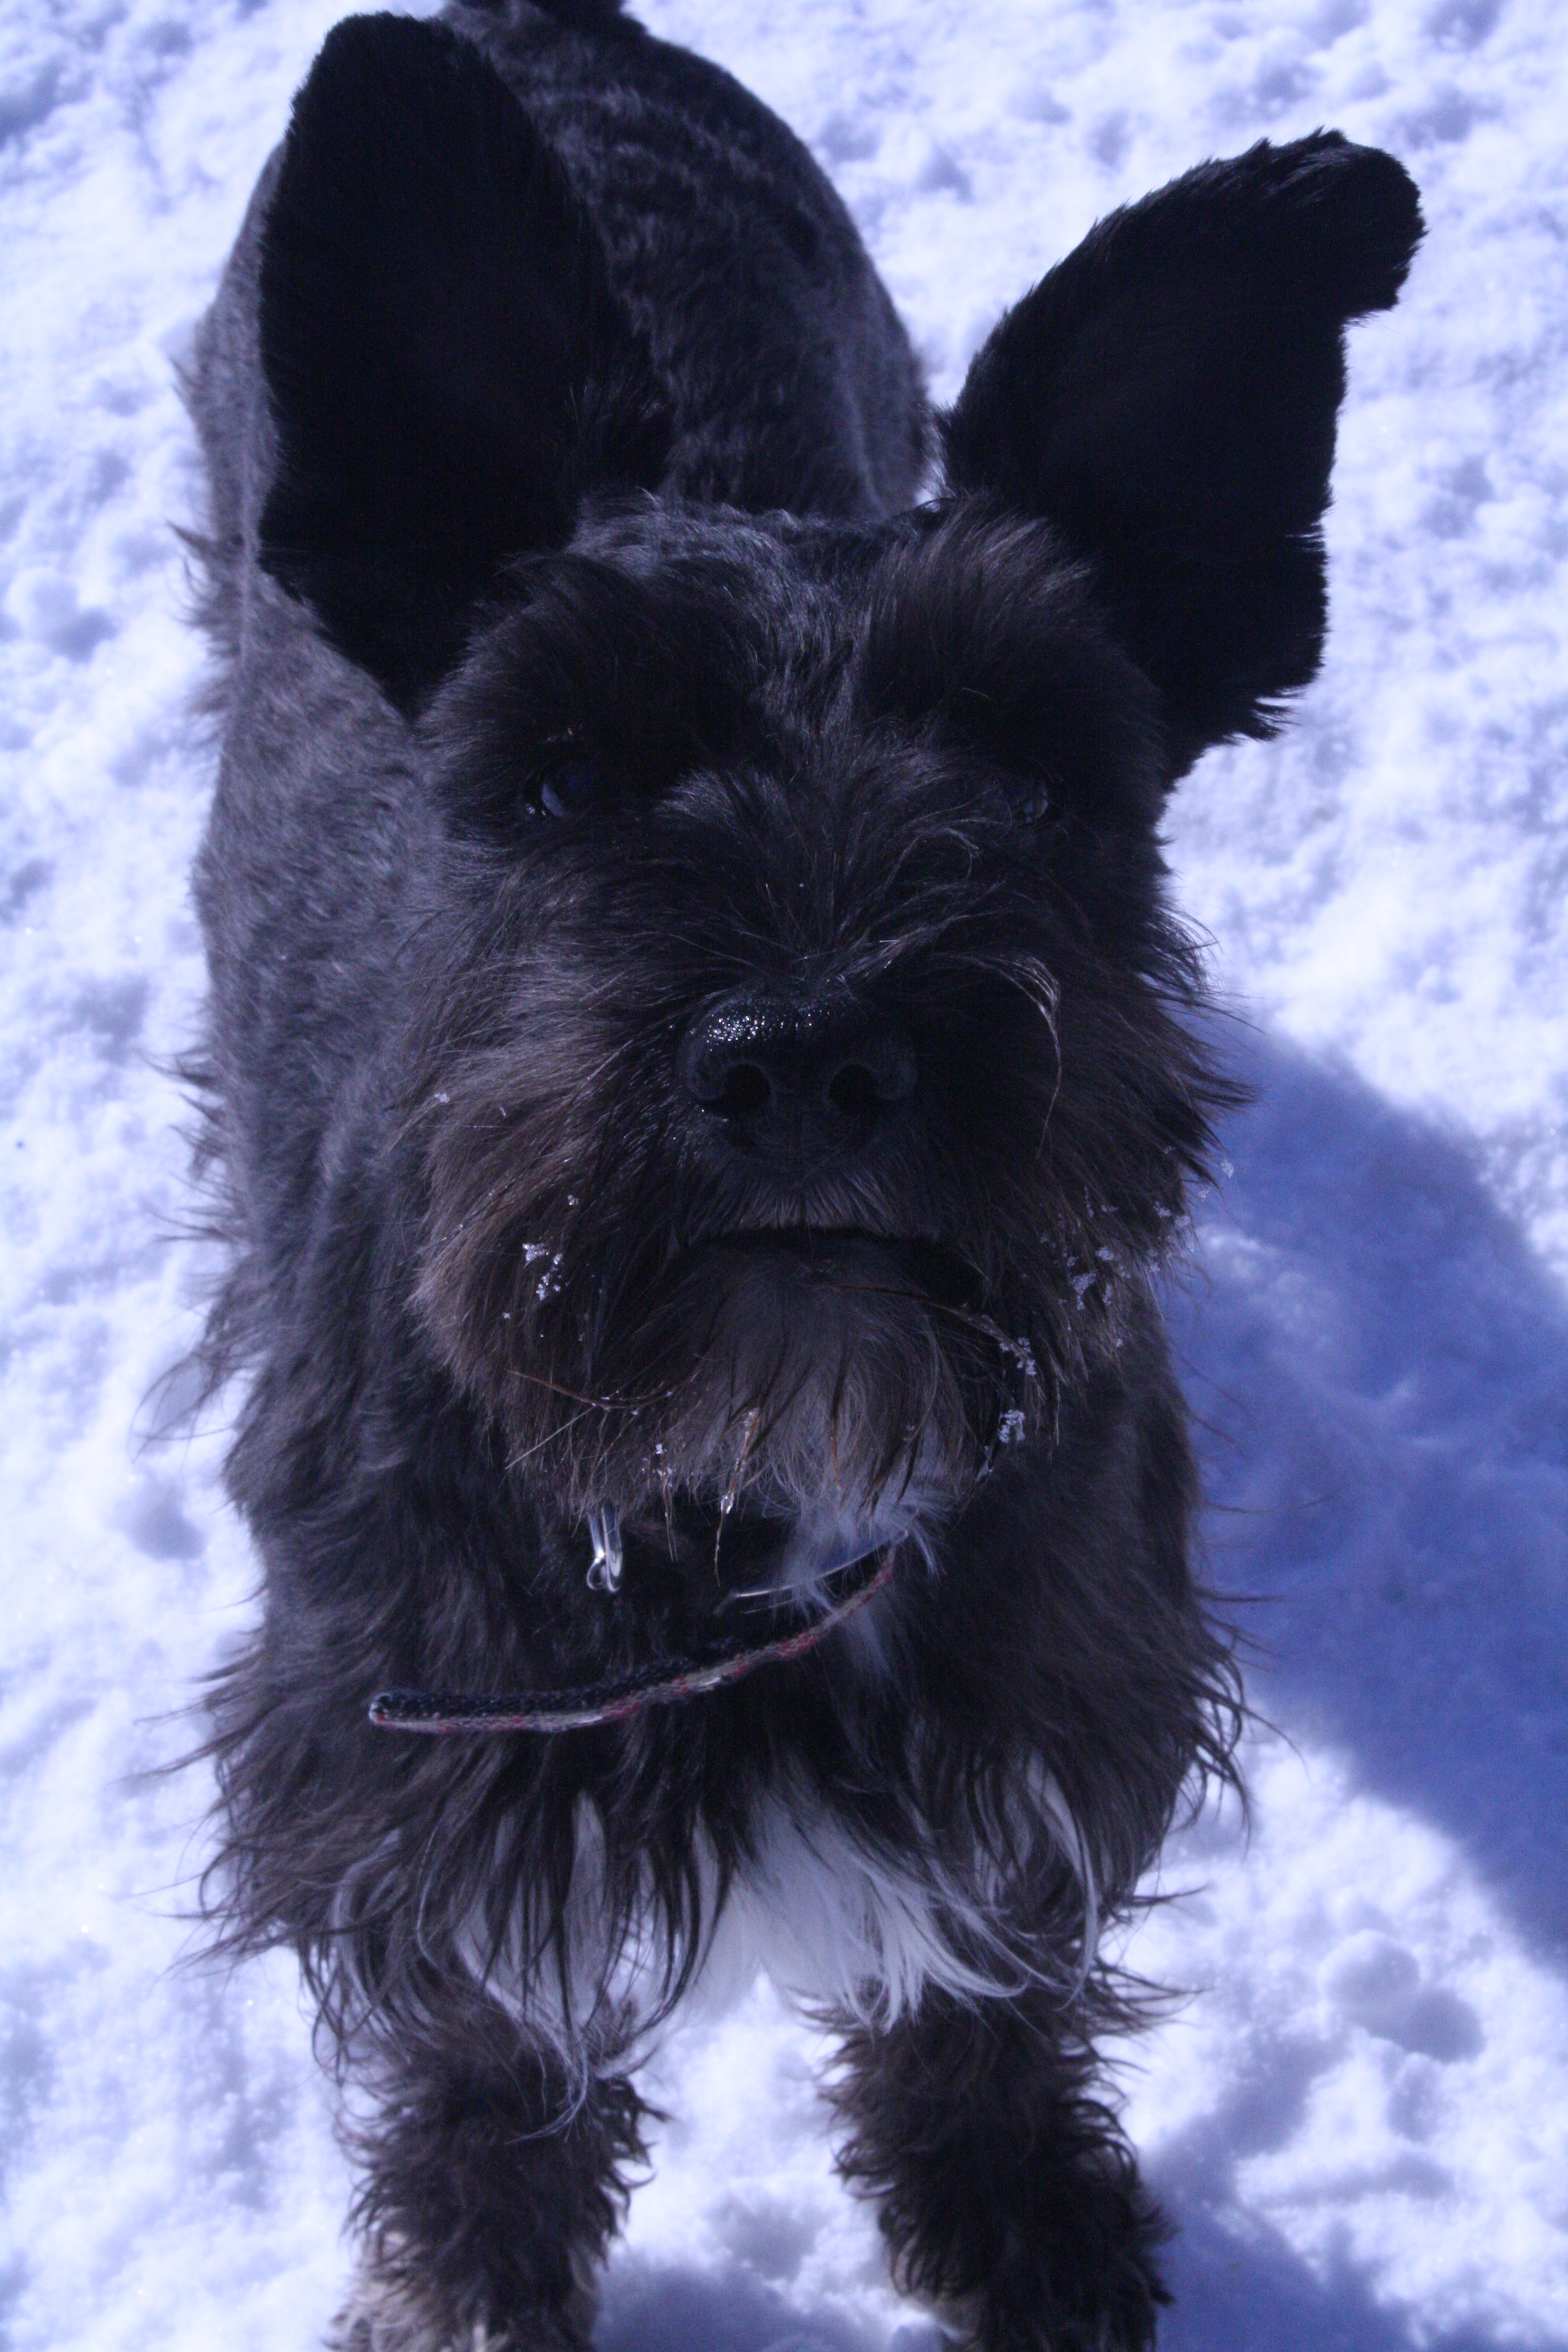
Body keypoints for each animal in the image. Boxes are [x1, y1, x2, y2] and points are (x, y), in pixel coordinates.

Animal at [186, 9, 1419, 2343]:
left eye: (1036, 763)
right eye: (558, 773)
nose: (809, 1059)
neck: (740, 1473)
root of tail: (546, 33)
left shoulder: (1041, 1710)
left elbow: (983, 2000)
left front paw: (1020, 2225)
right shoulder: (417, 1773)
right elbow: (492, 2052)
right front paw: (473, 2278)